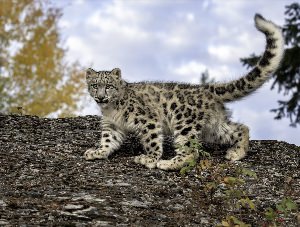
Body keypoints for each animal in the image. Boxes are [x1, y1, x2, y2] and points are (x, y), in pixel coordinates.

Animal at [84, 14, 284, 170]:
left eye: (108, 86)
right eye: (95, 85)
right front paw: (97, 152)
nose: (101, 97)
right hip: (213, 127)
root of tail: (205, 89)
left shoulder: (148, 120)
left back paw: (168, 163)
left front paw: (150, 159)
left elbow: (152, 141)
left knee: (190, 151)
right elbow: (108, 140)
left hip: (185, 122)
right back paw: (236, 153)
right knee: (240, 128)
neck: (111, 109)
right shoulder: (112, 125)